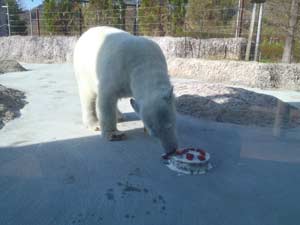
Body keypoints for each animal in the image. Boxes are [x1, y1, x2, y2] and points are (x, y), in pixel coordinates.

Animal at [73, 25, 178, 154]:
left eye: (170, 125)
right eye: (154, 134)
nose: (171, 150)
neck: (144, 62)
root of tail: (85, 33)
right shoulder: (117, 72)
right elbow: (106, 98)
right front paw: (114, 135)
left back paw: (120, 116)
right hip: (84, 71)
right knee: (88, 96)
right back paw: (95, 124)